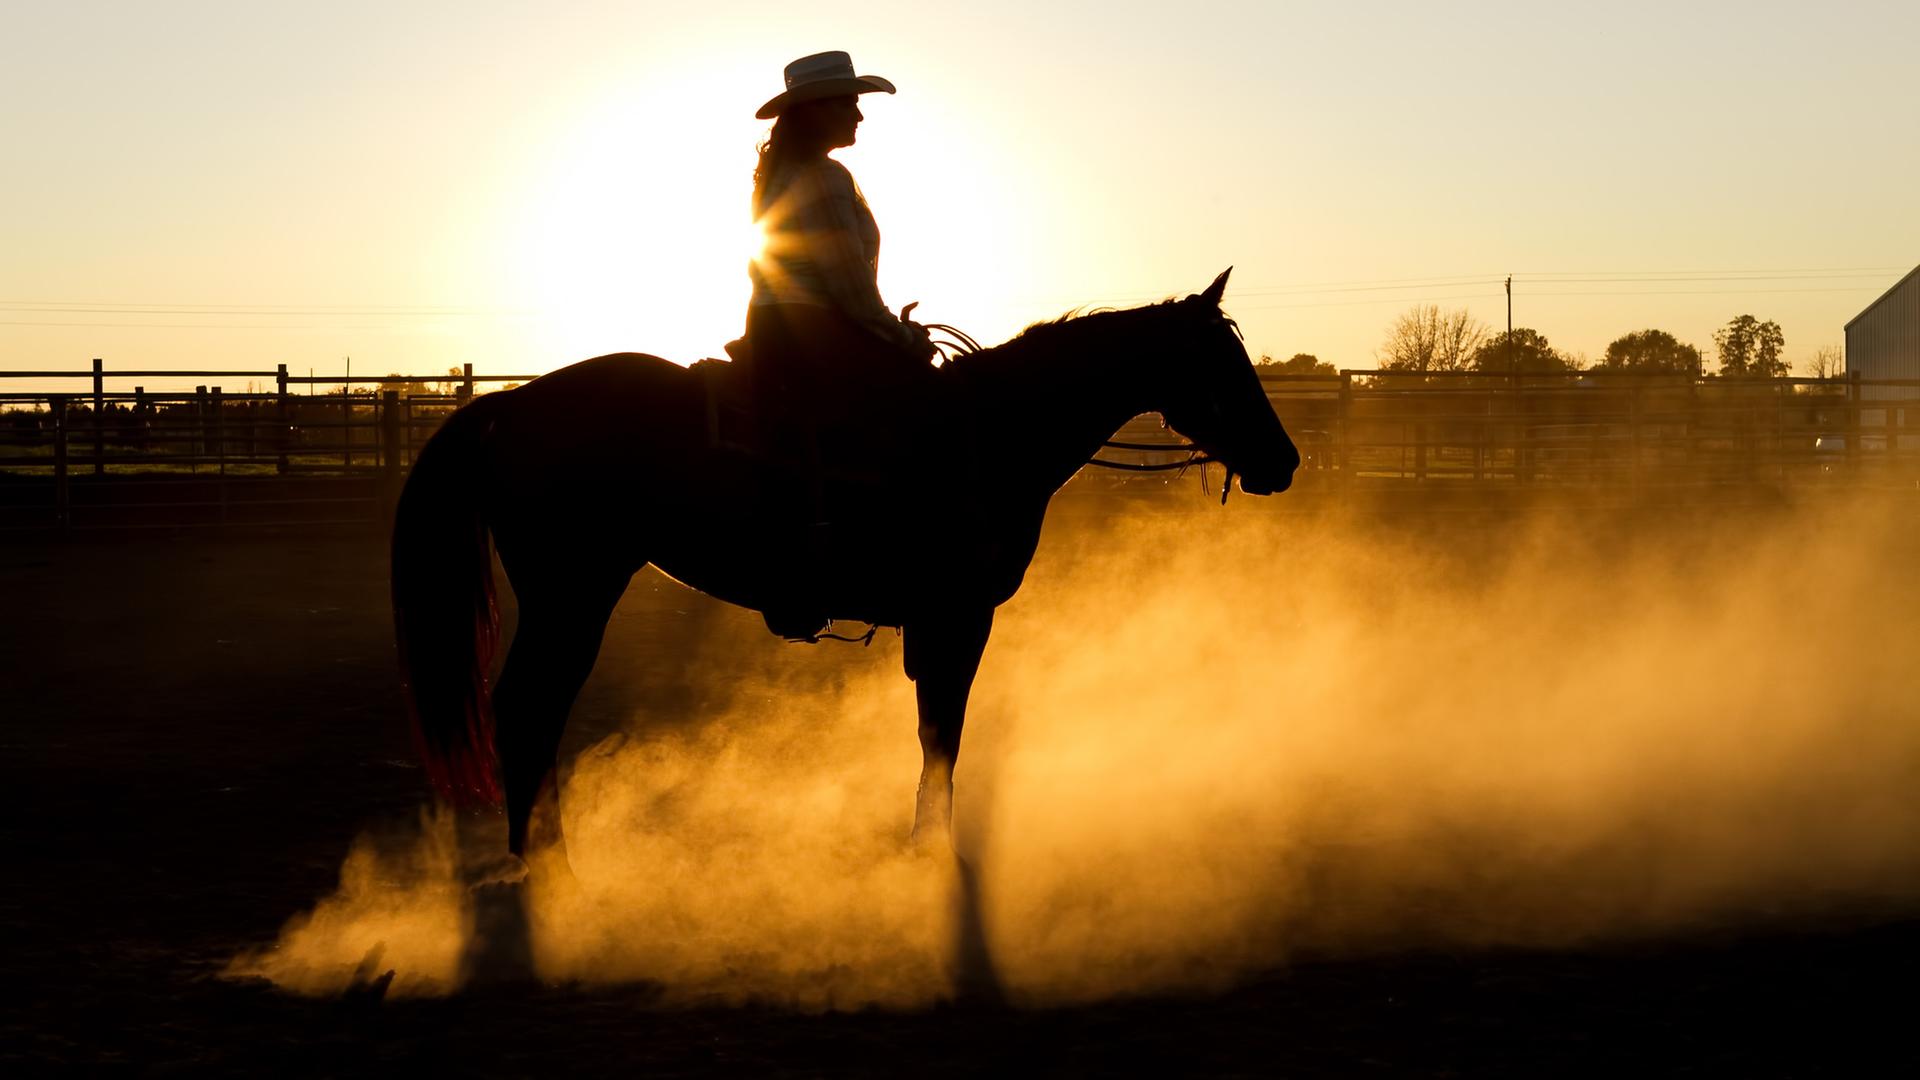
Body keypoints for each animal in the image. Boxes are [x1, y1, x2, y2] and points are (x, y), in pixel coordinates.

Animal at [387, 267, 1290, 864]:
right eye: (1224, 365)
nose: (1284, 461)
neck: (989, 432)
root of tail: (510, 405)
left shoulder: (936, 624)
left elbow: (934, 731)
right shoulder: (959, 615)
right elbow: (944, 734)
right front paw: (930, 851)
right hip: (572, 593)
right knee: (529, 706)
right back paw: (547, 864)